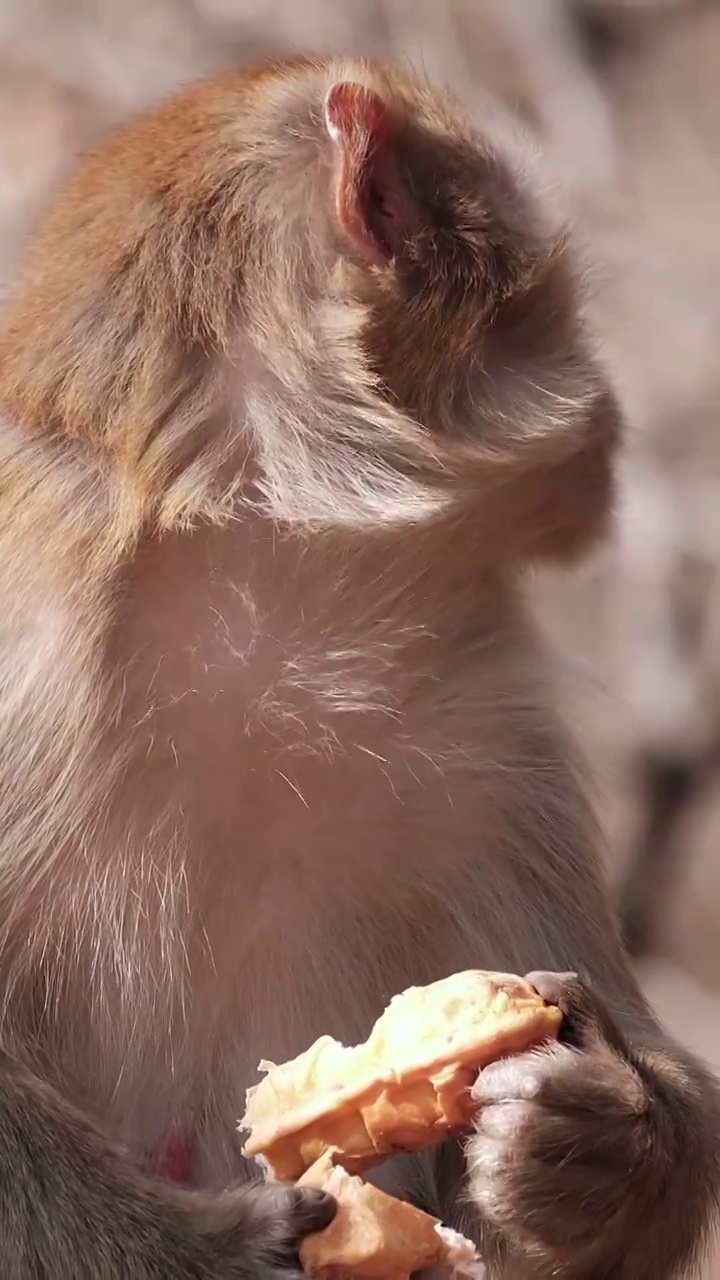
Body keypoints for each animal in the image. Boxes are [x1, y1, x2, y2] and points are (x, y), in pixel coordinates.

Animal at [0, 52, 712, 1280]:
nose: (612, 406)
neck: (268, 612)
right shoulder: (30, 674)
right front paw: (206, 1250)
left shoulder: (491, 720)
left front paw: (598, 1136)